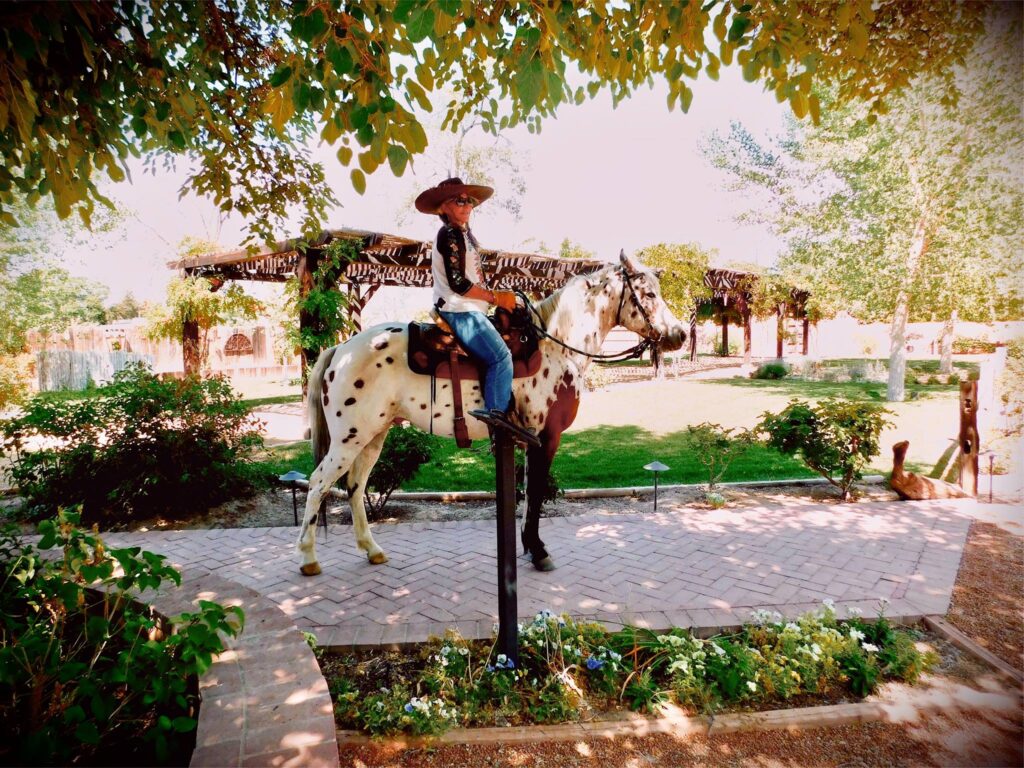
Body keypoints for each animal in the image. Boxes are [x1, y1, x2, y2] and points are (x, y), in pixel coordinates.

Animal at [296, 252, 688, 577]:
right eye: (647, 294)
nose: (680, 335)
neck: (555, 347)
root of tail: (341, 349)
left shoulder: (529, 441)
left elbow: (528, 494)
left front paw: (529, 547)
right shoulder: (547, 439)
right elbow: (536, 493)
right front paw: (539, 551)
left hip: (374, 437)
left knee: (355, 487)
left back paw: (372, 549)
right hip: (349, 439)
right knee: (318, 484)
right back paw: (308, 558)